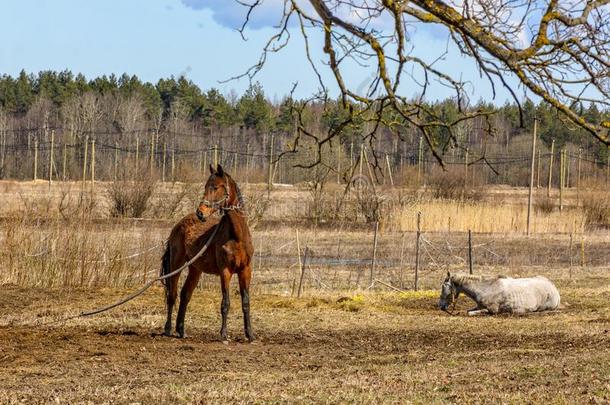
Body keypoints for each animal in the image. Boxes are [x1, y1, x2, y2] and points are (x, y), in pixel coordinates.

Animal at [160, 164, 253, 340]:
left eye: (216, 187)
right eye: (205, 187)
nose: (200, 212)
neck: (237, 236)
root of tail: (178, 225)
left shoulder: (245, 270)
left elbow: (245, 302)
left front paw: (250, 334)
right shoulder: (225, 271)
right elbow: (225, 303)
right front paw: (224, 335)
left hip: (195, 269)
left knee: (185, 294)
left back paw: (181, 330)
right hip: (176, 265)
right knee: (172, 296)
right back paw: (168, 329)